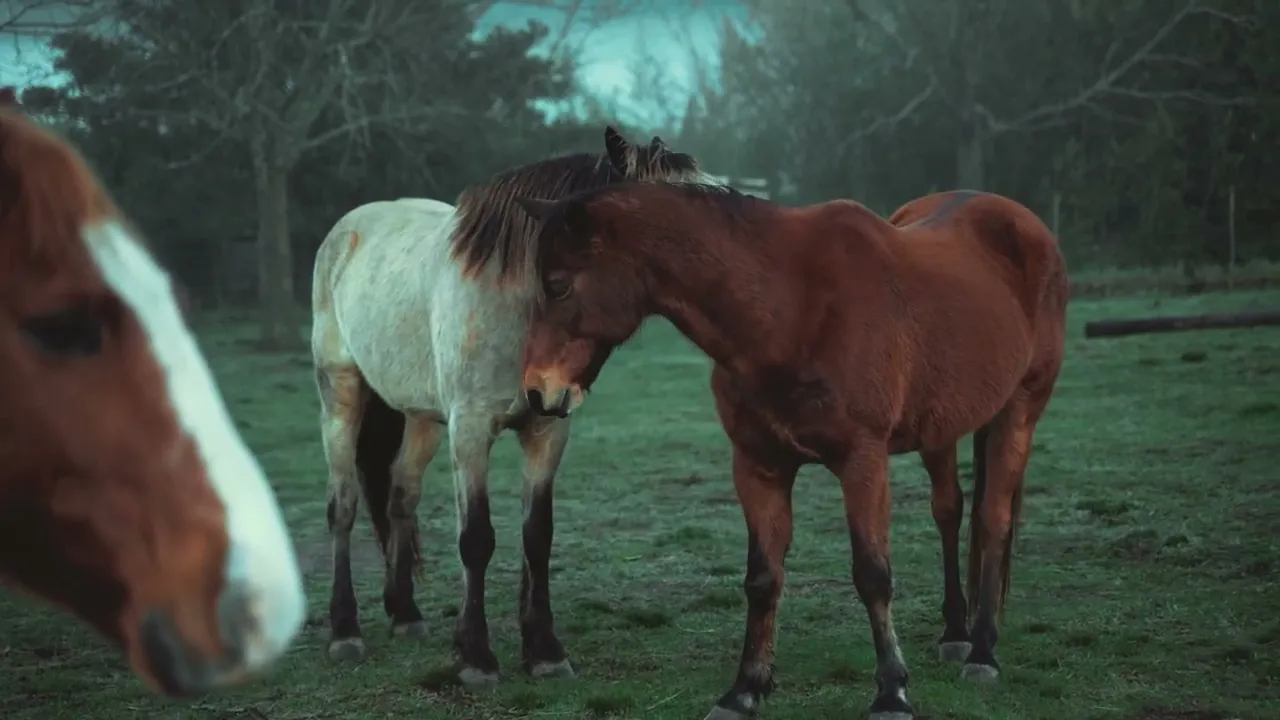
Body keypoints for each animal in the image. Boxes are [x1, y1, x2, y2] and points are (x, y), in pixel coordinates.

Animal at [309, 127, 701, 686]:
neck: (519, 306)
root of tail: (348, 229)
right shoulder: (472, 430)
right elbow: (476, 538)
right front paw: (476, 657)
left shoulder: (547, 429)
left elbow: (537, 536)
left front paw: (544, 651)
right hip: (340, 396)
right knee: (342, 506)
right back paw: (345, 632)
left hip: (423, 417)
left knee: (401, 495)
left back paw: (405, 614)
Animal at [513, 183, 1069, 720]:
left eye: (559, 284)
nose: (538, 392)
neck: (789, 308)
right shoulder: (759, 465)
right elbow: (763, 578)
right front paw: (744, 691)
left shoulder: (863, 462)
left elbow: (872, 574)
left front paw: (892, 693)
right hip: (943, 429)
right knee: (950, 512)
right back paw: (956, 634)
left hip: (1019, 412)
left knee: (993, 521)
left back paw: (984, 652)